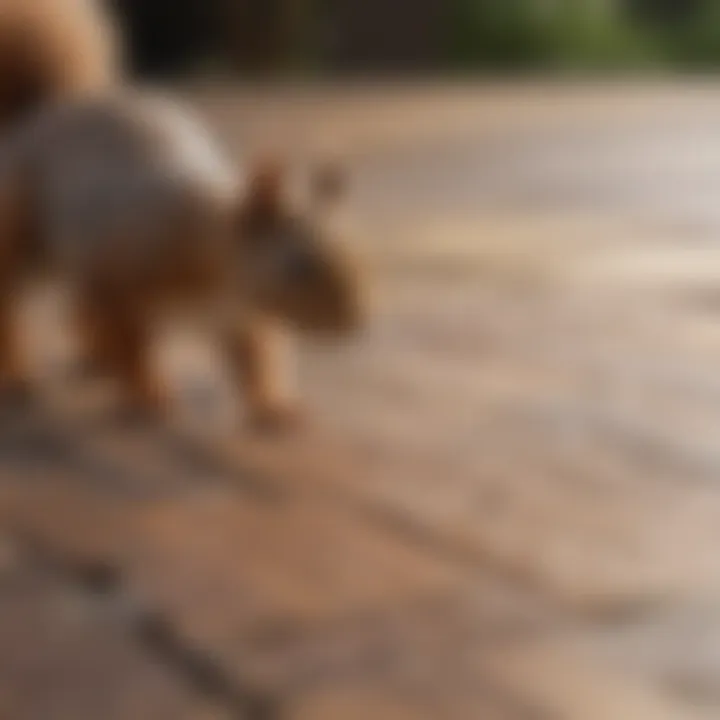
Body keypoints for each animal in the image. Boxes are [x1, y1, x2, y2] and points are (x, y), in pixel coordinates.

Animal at [0, 88, 366, 428]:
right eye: (301, 268)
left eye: (364, 257)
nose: (356, 319)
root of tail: (30, 124)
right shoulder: (119, 278)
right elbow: (131, 345)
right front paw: (149, 395)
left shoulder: (241, 316)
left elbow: (257, 358)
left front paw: (274, 406)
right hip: (24, 233)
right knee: (17, 304)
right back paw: (18, 378)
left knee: (78, 307)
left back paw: (95, 358)